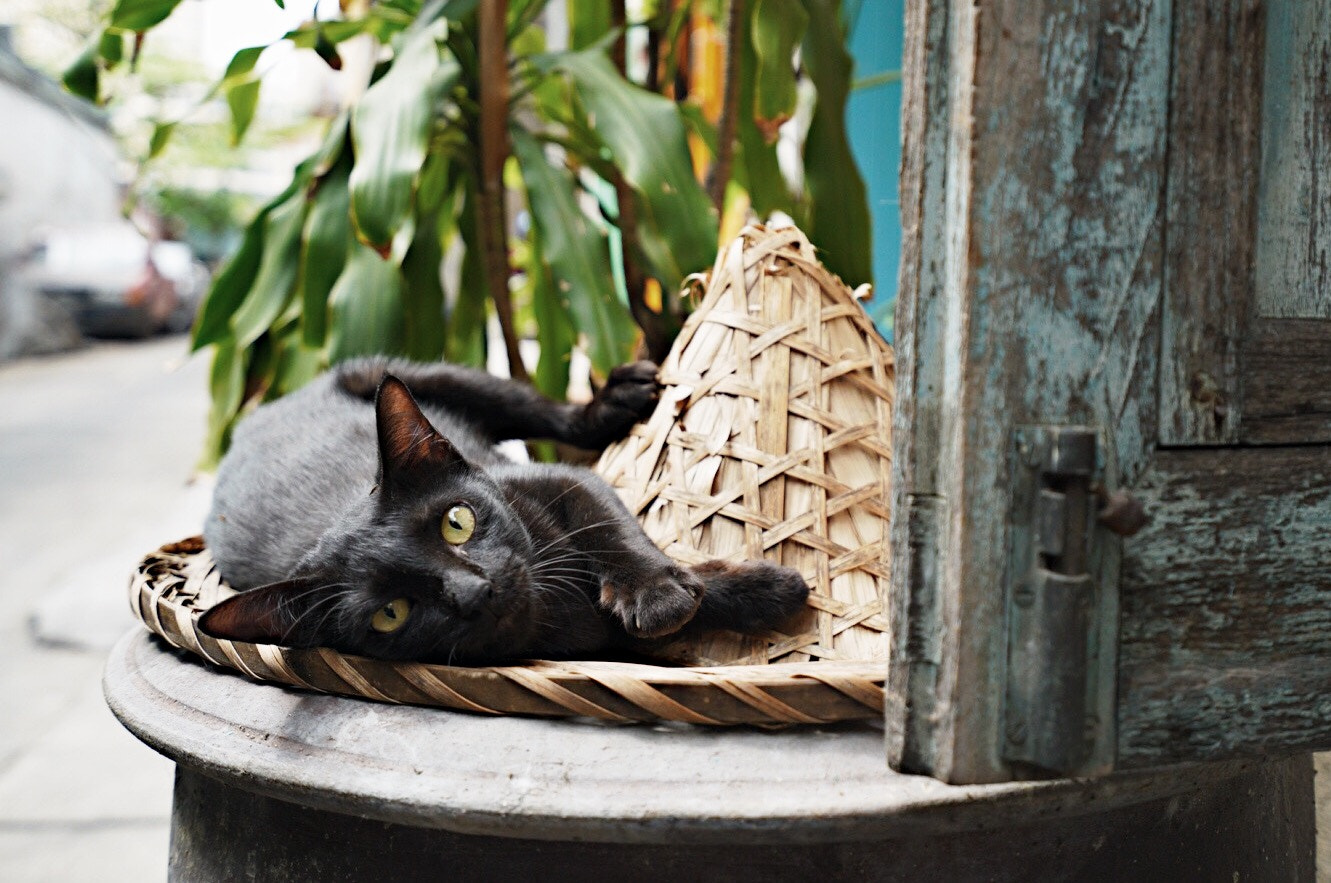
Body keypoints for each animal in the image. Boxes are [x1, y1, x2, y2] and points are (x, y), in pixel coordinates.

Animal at [194, 359, 798, 663]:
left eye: (456, 522)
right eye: (391, 613)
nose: (476, 592)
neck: (558, 606)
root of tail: (249, 421)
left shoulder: (561, 480)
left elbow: (612, 533)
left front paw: (665, 594)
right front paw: (774, 592)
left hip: (429, 376)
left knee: (545, 411)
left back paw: (619, 397)